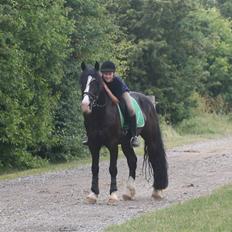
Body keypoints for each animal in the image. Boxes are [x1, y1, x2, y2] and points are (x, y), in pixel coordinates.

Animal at [80, 61, 168, 203]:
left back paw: (157, 191)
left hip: (150, 136)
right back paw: (129, 192)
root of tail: (147, 100)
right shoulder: (93, 145)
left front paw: (113, 195)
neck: (101, 114)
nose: (85, 105)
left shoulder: (112, 144)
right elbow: (94, 168)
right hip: (126, 142)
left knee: (155, 157)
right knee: (132, 161)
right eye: (82, 81)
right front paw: (93, 194)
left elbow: (112, 169)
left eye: (96, 82)